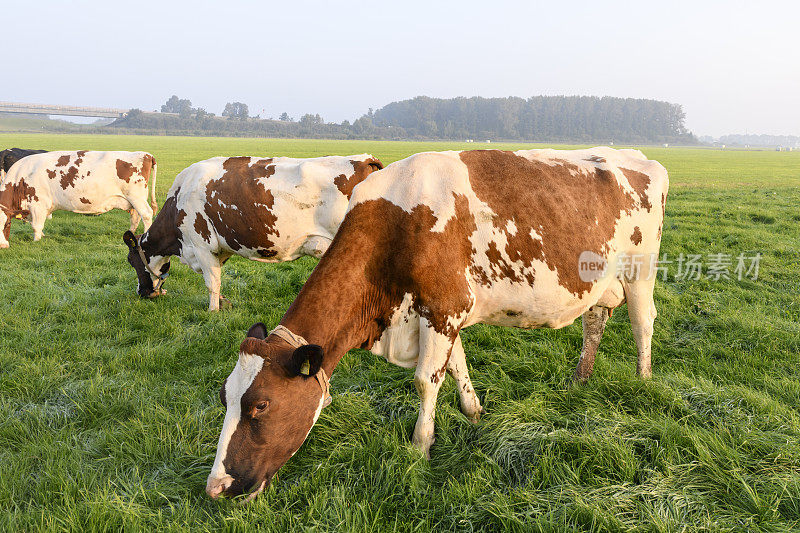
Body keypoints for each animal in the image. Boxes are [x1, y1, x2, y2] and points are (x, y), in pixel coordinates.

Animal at [0, 151, 158, 248]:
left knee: (146, 214)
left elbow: (36, 226)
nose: (2, 246)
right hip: (132, 201)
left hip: (137, 197)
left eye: (8, 224)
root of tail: (146, 154)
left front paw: (37, 241)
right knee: (135, 217)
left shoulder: (38, 204)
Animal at [122, 154, 384, 310]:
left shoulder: (202, 245)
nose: (142, 293)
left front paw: (212, 312)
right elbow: (218, 278)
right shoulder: (220, 247)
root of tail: (363, 159)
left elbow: (211, 282)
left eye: (131, 261)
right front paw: (222, 304)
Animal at [206, 145, 668, 498]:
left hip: (640, 271)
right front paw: (474, 412)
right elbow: (457, 365)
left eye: (261, 404)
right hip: (600, 282)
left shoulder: (446, 305)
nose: (215, 487)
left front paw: (420, 448)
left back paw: (643, 382)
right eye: (226, 397)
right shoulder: (441, 311)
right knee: (595, 322)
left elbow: (426, 380)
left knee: (642, 324)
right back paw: (579, 381)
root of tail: (638, 157)